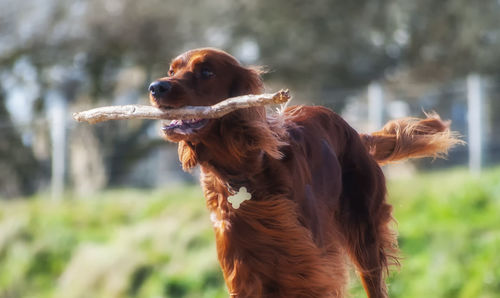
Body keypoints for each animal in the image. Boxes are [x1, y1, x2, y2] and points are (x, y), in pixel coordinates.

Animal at [148, 47, 460, 296]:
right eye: (171, 70)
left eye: (206, 71)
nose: (155, 87)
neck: (243, 171)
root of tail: (355, 133)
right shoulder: (244, 272)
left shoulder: (311, 268)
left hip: (365, 236)